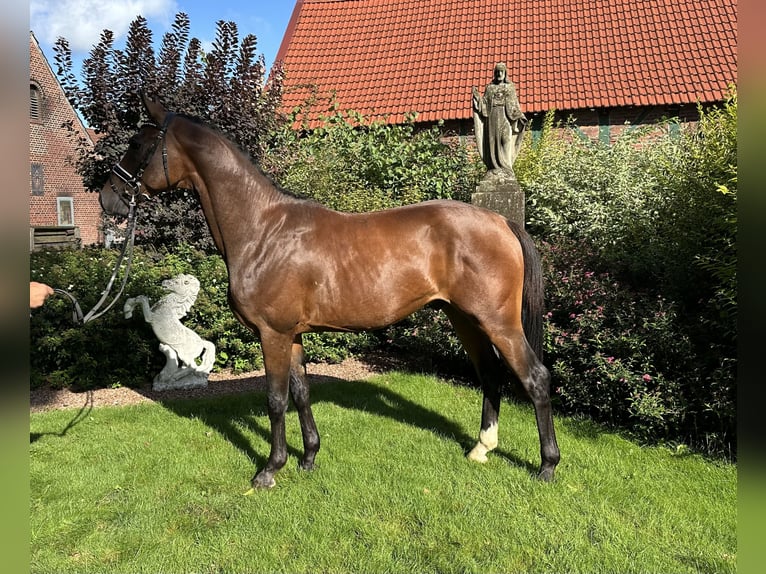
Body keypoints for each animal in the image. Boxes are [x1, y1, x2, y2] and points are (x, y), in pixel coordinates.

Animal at [99, 94, 560, 490]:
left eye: (138, 144)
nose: (108, 198)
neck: (262, 230)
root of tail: (501, 221)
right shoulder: (292, 335)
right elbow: (301, 394)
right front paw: (308, 458)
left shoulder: (272, 334)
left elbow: (275, 399)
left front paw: (270, 470)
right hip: (464, 318)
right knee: (490, 374)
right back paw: (481, 449)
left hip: (497, 321)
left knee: (535, 377)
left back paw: (547, 466)